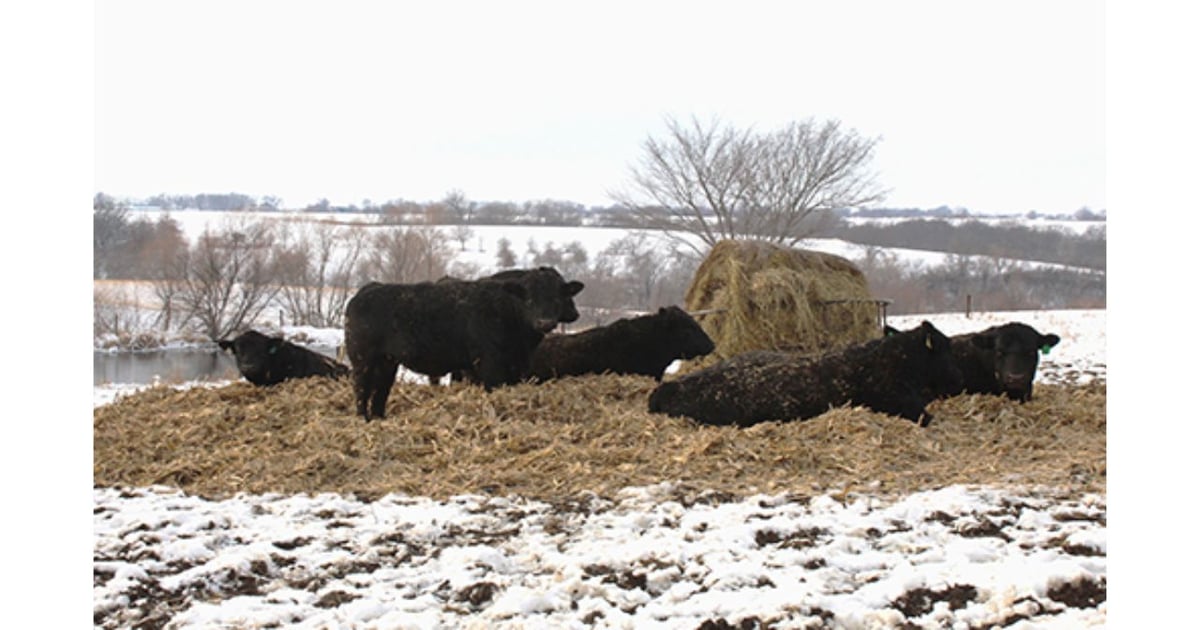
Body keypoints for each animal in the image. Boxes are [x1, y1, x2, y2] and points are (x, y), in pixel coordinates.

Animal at [343, 271, 585, 421]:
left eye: (557, 298)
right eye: (529, 299)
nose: (545, 322)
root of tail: (367, 289)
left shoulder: (516, 367)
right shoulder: (489, 364)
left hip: (387, 361)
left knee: (381, 389)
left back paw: (378, 418)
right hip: (362, 358)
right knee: (361, 387)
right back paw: (362, 418)